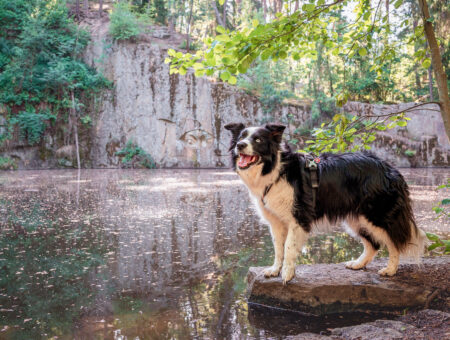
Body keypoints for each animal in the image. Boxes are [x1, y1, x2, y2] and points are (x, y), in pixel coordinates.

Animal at [225, 122, 426, 284]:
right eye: (241, 137)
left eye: (258, 140)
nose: (240, 145)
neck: (275, 171)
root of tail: (390, 169)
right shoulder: (276, 222)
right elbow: (278, 248)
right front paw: (275, 270)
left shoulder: (298, 218)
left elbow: (289, 248)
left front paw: (287, 275)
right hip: (357, 218)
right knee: (373, 244)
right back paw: (358, 264)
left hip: (377, 215)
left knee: (394, 241)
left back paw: (390, 270)